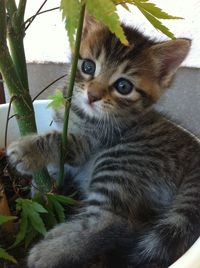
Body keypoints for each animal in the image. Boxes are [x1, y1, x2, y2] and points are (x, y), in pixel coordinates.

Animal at [6, 17, 200, 268]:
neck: (80, 113)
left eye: (123, 86)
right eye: (88, 67)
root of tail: (194, 154)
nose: (92, 95)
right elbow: (54, 167)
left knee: (112, 221)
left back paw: (47, 253)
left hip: (119, 161)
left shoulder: (89, 143)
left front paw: (27, 150)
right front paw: (39, 189)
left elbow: (59, 141)